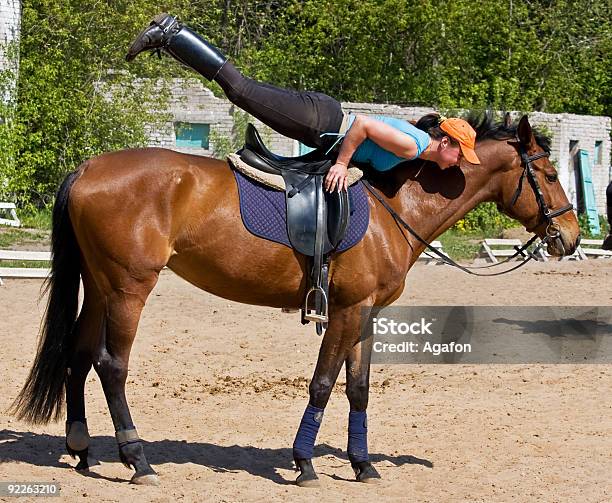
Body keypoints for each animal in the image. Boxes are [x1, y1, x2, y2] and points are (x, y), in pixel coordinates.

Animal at [11, 115, 580, 488]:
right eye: (550, 176)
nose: (571, 236)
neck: (392, 206)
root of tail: (86, 169)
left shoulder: (366, 313)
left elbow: (359, 389)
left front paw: (363, 464)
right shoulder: (347, 310)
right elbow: (324, 382)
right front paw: (305, 463)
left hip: (99, 286)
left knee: (77, 357)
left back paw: (83, 452)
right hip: (129, 288)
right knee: (111, 365)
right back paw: (138, 460)